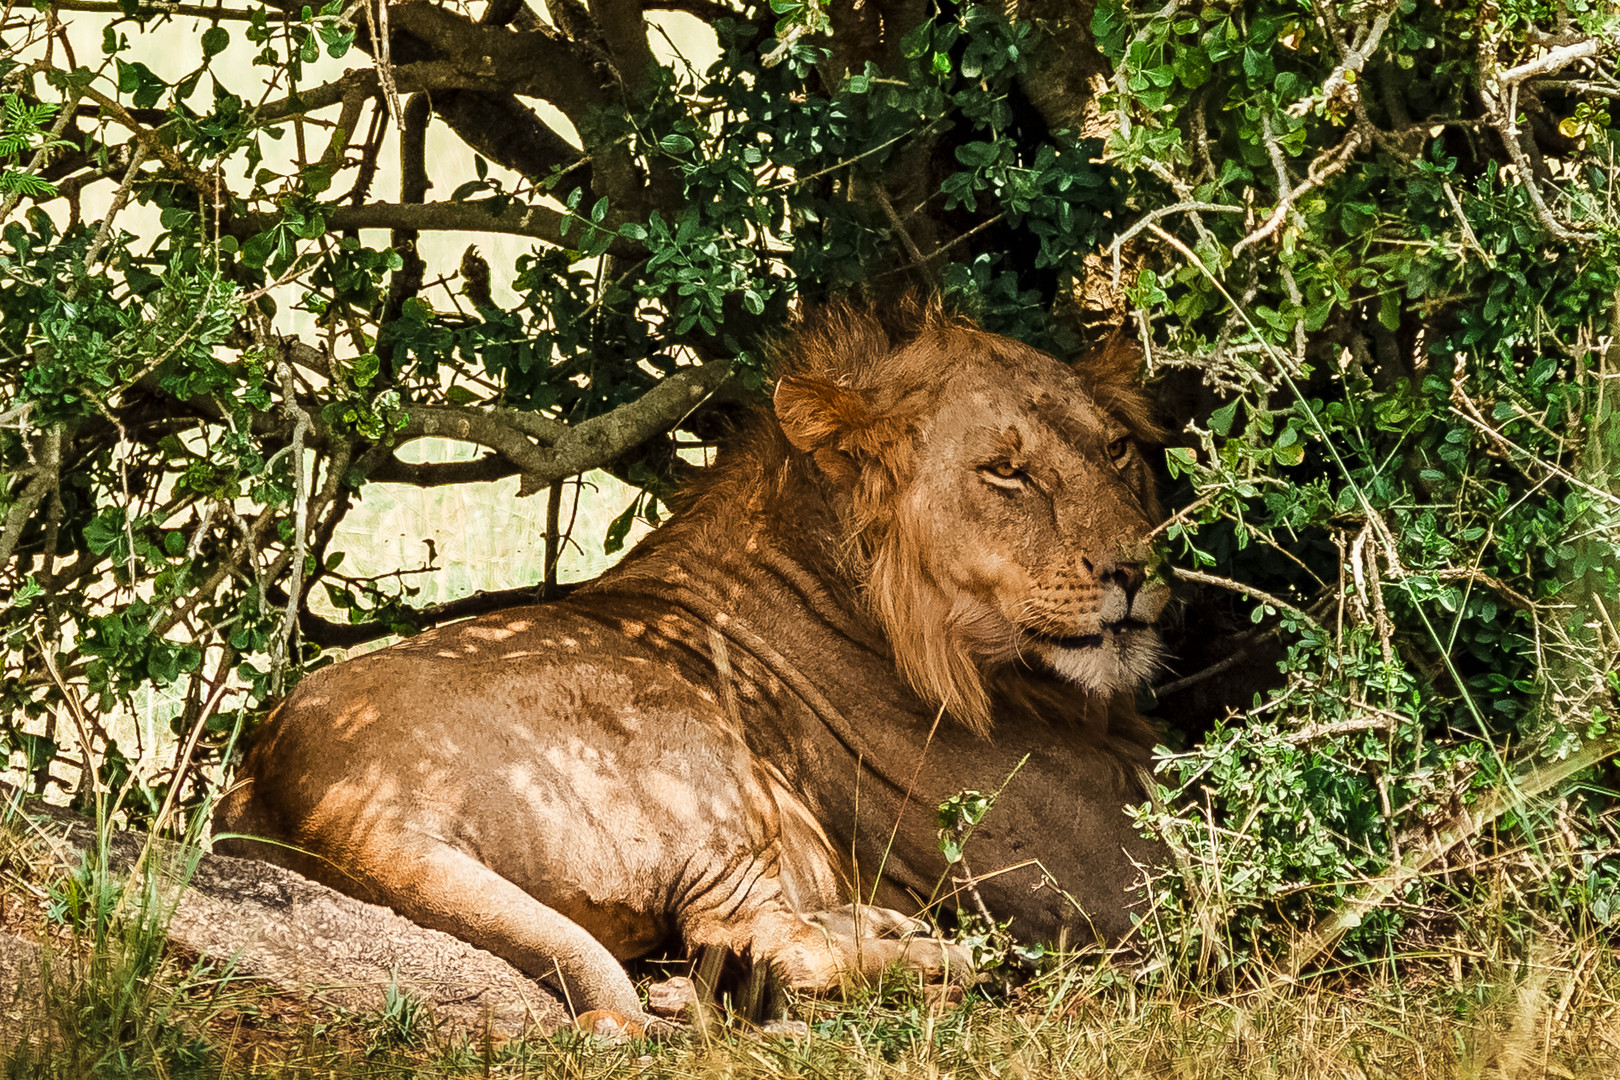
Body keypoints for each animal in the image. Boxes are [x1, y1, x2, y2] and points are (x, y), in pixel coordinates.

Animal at [215, 304, 1172, 1029]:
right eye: (1006, 472)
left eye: (1116, 450)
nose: (1136, 568)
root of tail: (324, 793)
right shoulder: (1105, 877)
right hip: (704, 762)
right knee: (764, 945)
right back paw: (929, 955)